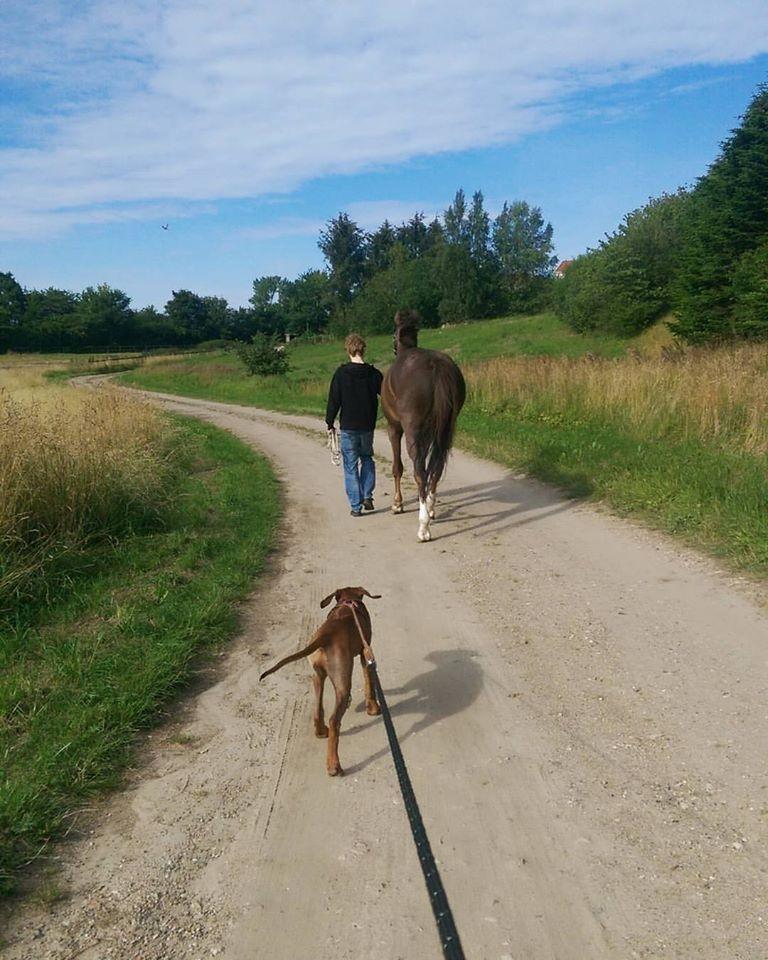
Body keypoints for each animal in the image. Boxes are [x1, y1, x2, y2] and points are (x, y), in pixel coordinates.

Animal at [260, 588, 382, 776]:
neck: (349, 601)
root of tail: (326, 635)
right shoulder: (365, 652)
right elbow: (369, 683)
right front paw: (373, 708)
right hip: (342, 683)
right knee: (334, 721)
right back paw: (333, 765)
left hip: (317, 676)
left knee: (318, 710)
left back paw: (321, 731)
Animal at [380, 314, 464, 544]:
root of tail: (436, 366)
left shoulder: (394, 428)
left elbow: (397, 468)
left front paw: (397, 504)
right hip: (445, 432)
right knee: (435, 469)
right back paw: (431, 510)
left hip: (411, 433)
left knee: (419, 472)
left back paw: (423, 528)